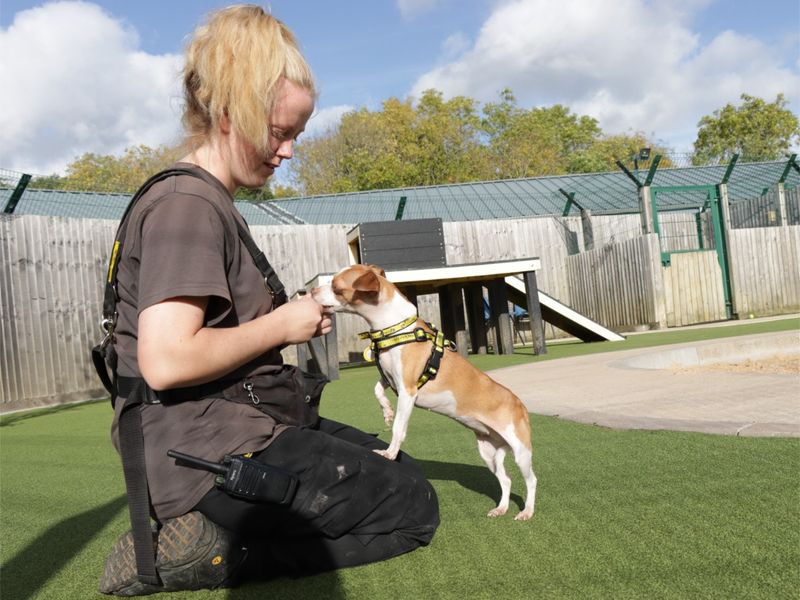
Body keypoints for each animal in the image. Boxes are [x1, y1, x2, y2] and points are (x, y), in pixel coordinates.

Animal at [312, 264, 536, 520]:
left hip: (521, 452)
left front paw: (390, 453)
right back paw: (501, 508)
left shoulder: (408, 391)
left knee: (531, 480)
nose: (311, 291)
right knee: (506, 480)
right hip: (490, 453)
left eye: (336, 287)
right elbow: (377, 389)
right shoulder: (390, 379)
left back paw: (527, 511)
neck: (394, 329)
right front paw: (386, 411)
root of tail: (520, 404)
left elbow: (398, 428)